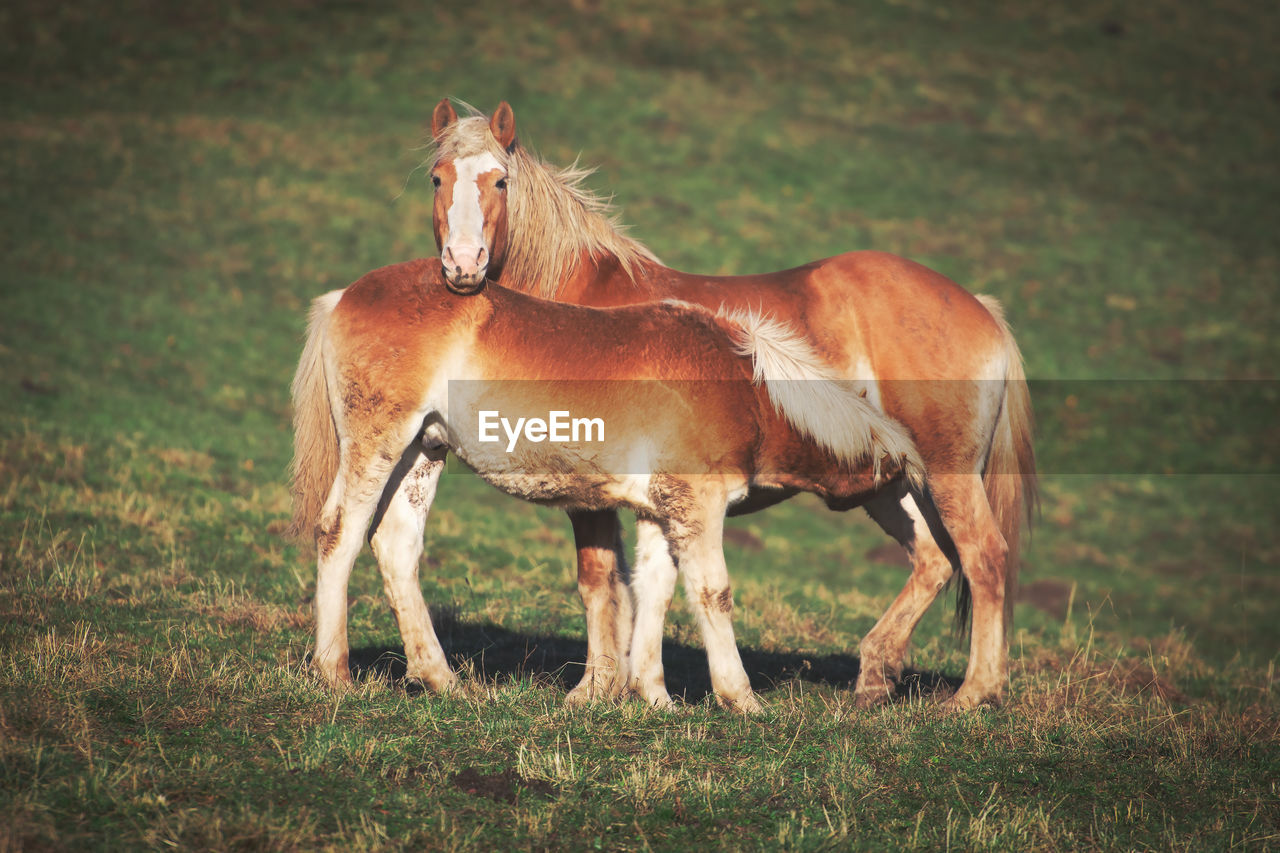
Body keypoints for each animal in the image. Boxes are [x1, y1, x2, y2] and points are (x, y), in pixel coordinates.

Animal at [290, 258, 931, 712]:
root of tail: (345, 295)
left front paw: (654, 697)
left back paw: (442, 680)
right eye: (902, 484)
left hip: (423, 451)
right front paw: (741, 699)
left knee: (396, 546)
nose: (927, 537)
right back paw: (335, 674)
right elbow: (713, 594)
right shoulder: (698, 507)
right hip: (378, 443)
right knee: (340, 534)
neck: (744, 387)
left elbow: (654, 591)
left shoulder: (660, 511)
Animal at [414, 101, 1034, 712]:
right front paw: (627, 685)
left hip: (947, 474)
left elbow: (598, 579)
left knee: (984, 556)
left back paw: (973, 694)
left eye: (500, 180)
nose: (463, 266)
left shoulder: (588, 489)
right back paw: (876, 678)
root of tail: (981, 309)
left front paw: (593, 690)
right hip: (891, 483)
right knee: (934, 559)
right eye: (437, 178)